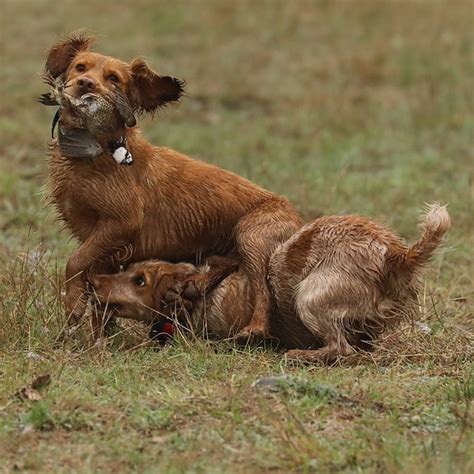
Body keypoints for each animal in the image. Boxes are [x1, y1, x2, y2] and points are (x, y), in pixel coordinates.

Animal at [45, 33, 304, 336]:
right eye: (80, 67)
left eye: (113, 79)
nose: (86, 85)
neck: (96, 153)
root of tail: (299, 220)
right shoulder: (100, 242)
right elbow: (99, 288)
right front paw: (99, 335)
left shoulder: (122, 222)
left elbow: (75, 261)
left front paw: (74, 304)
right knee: (225, 268)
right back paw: (191, 289)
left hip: (250, 235)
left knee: (262, 289)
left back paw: (253, 329)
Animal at [90, 204, 450, 362]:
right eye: (128, 269)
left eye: (139, 281)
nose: (93, 281)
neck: (203, 288)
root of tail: (396, 254)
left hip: (310, 296)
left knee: (341, 349)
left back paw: (301, 355)